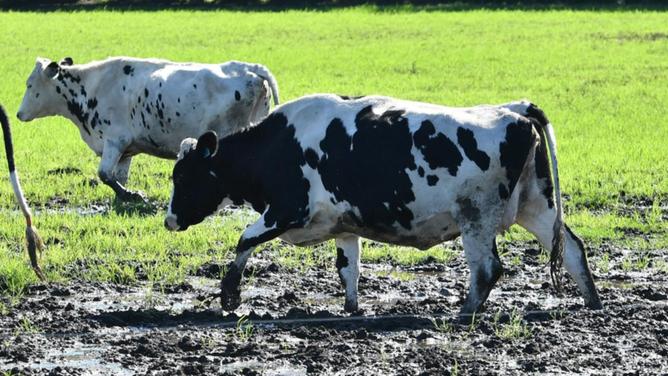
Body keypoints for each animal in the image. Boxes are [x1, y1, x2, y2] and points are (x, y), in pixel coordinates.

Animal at [17, 56, 280, 201]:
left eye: (29, 84)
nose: (19, 114)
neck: (91, 86)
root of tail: (248, 67)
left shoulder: (114, 140)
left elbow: (104, 174)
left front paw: (133, 195)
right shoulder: (126, 149)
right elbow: (118, 176)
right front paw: (125, 196)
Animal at [164, 94, 604, 318]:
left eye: (182, 178)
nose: (169, 220)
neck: (277, 145)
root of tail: (514, 108)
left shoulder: (288, 209)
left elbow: (244, 240)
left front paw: (229, 296)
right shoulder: (342, 225)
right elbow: (348, 270)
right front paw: (351, 310)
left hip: (477, 217)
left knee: (487, 268)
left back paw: (464, 311)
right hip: (537, 205)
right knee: (572, 249)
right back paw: (593, 303)